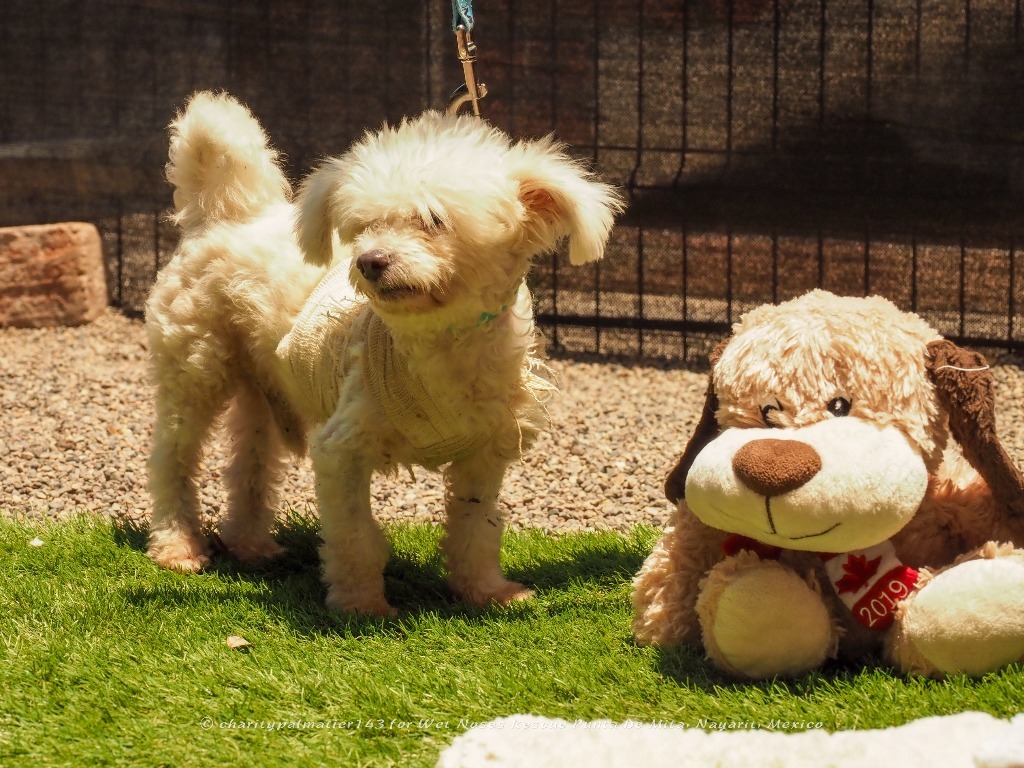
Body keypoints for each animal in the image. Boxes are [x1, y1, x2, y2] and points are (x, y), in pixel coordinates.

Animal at [144, 91, 622, 618]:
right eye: (364, 225)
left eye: (433, 220)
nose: (370, 261)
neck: (440, 349)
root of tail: (223, 215)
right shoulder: (341, 450)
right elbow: (356, 537)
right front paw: (360, 606)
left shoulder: (484, 455)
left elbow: (476, 529)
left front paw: (486, 591)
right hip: (194, 368)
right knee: (172, 460)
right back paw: (177, 546)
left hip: (263, 392)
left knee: (249, 467)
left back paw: (251, 545)